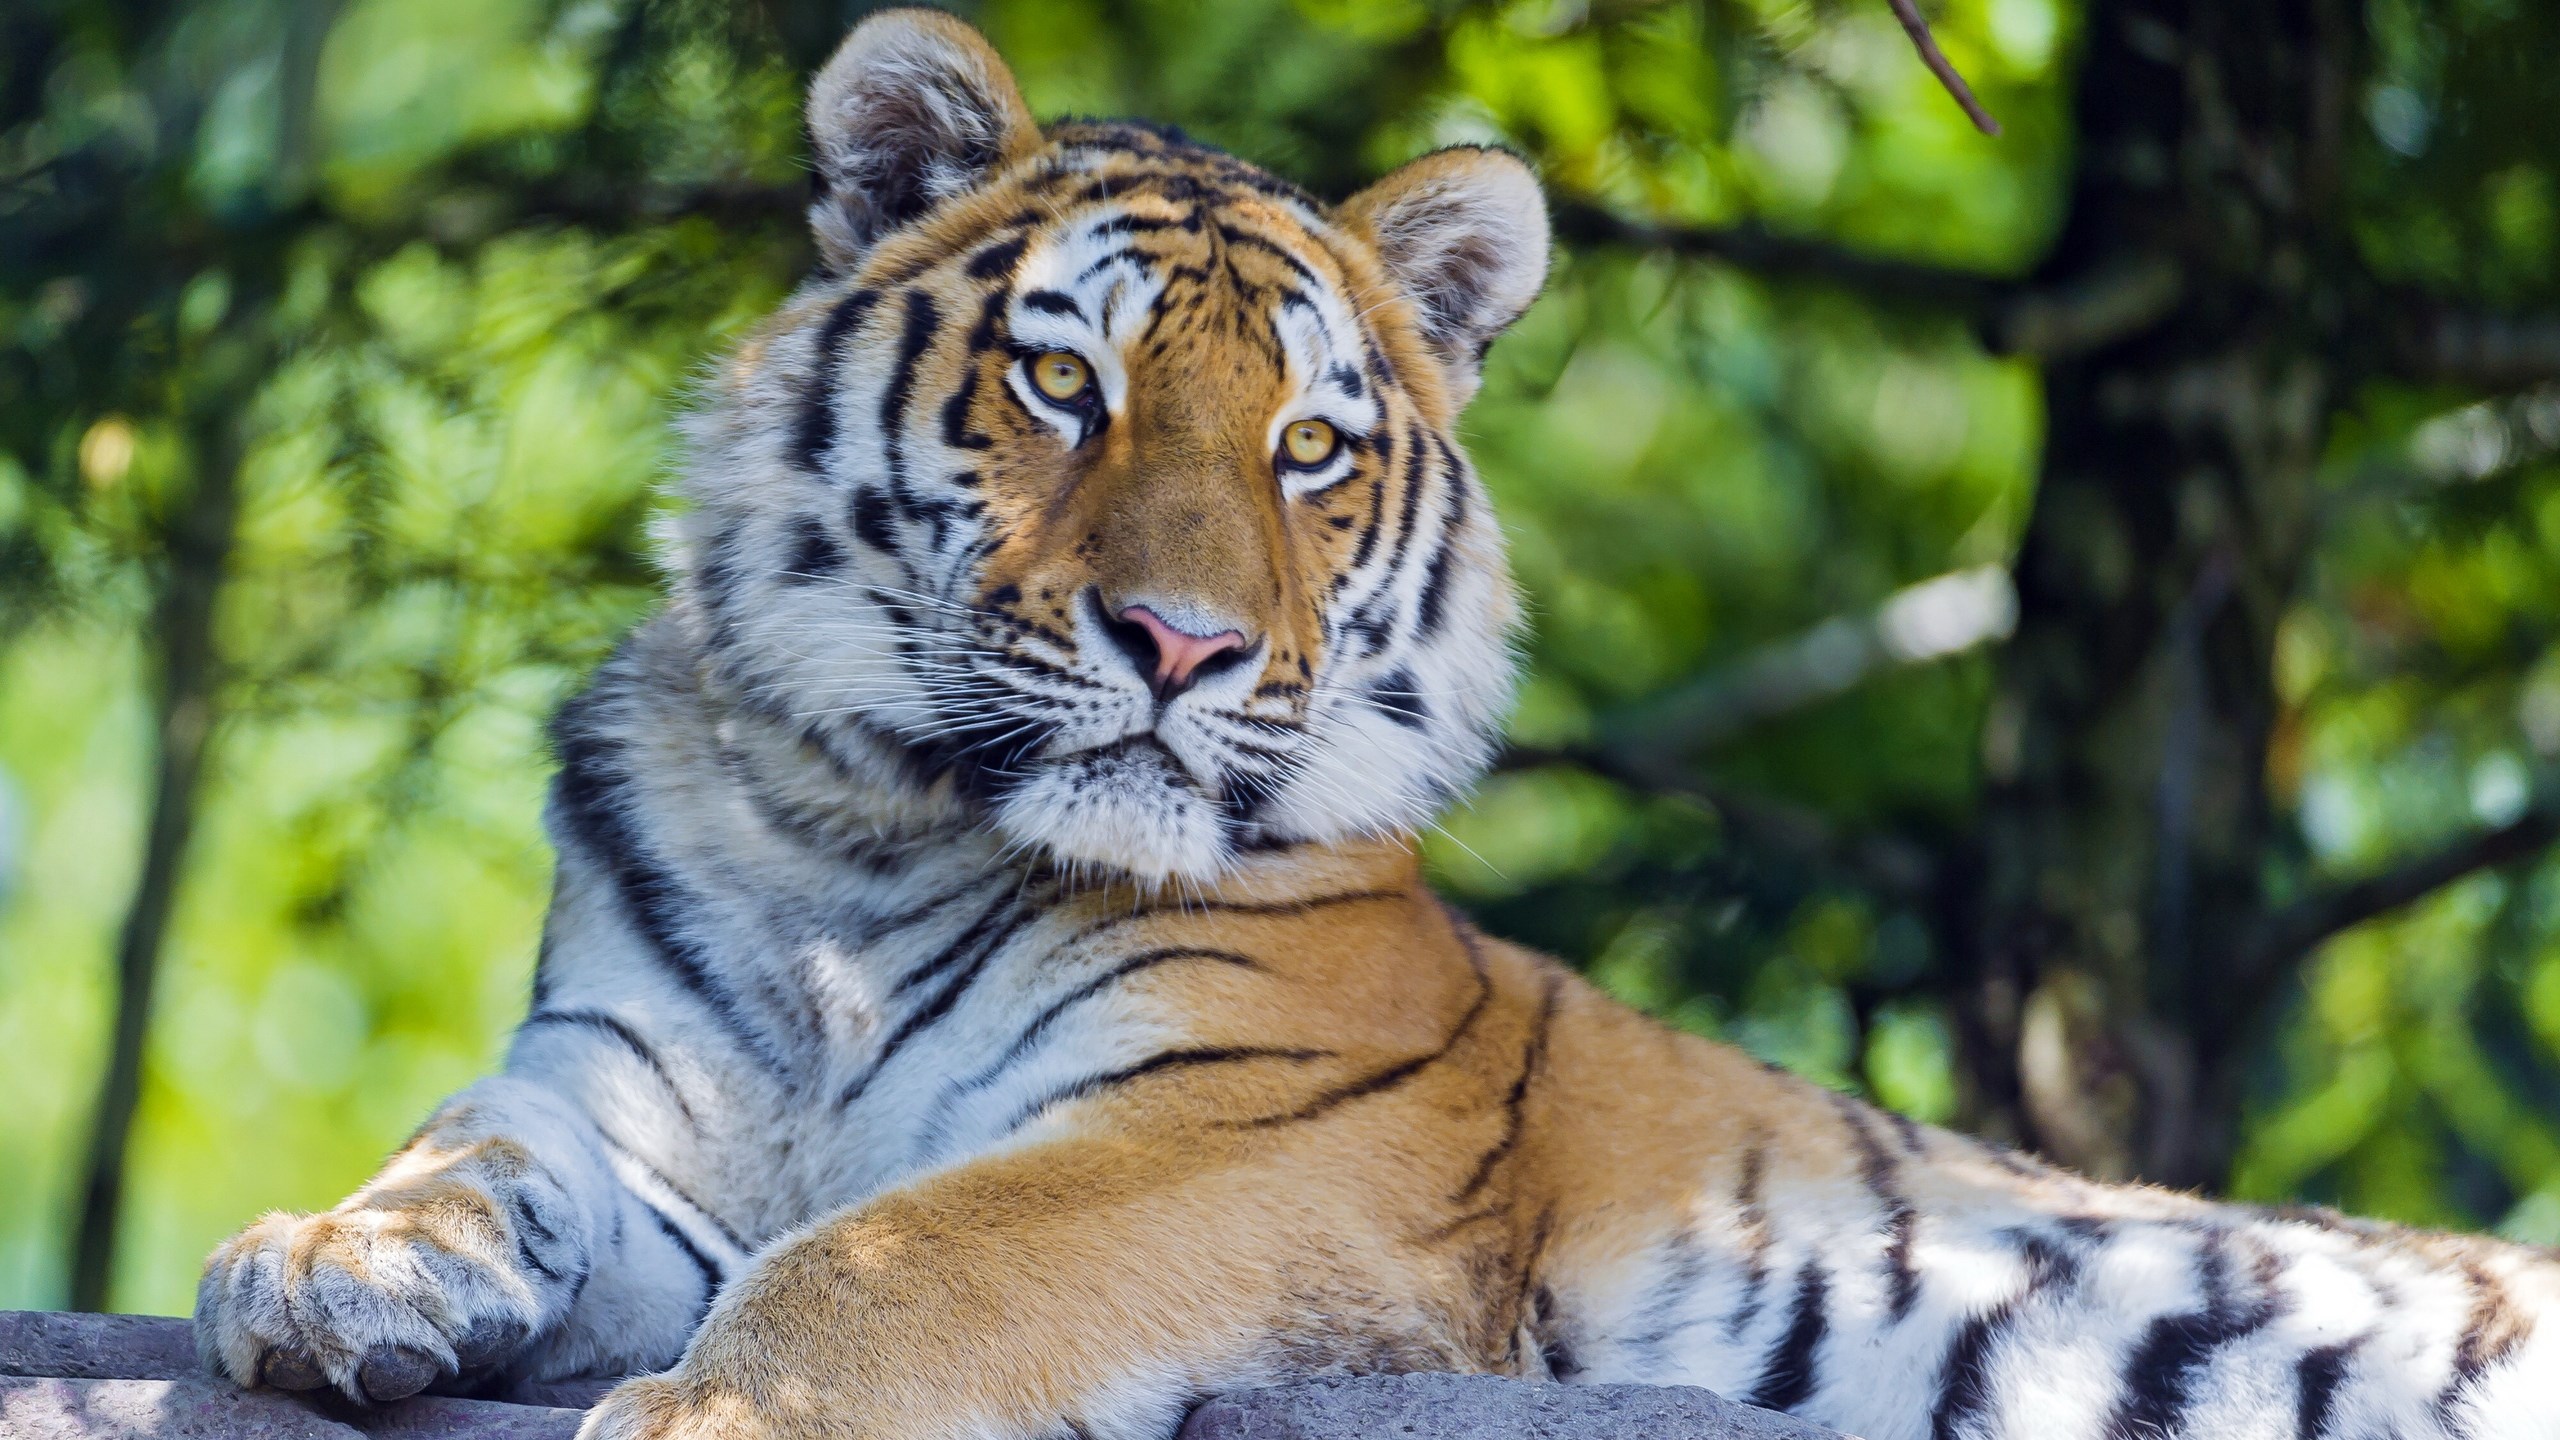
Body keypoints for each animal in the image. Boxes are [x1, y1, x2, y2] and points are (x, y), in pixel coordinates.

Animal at [190, 10, 2560, 1440]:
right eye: (1066, 382)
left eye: (1311, 446)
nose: (1179, 646)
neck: (854, 842)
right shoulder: (615, 1098)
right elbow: (464, 1146)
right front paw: (325, 1266)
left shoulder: (1242, 1137)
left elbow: (885, 1253)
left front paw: (706, 1411)